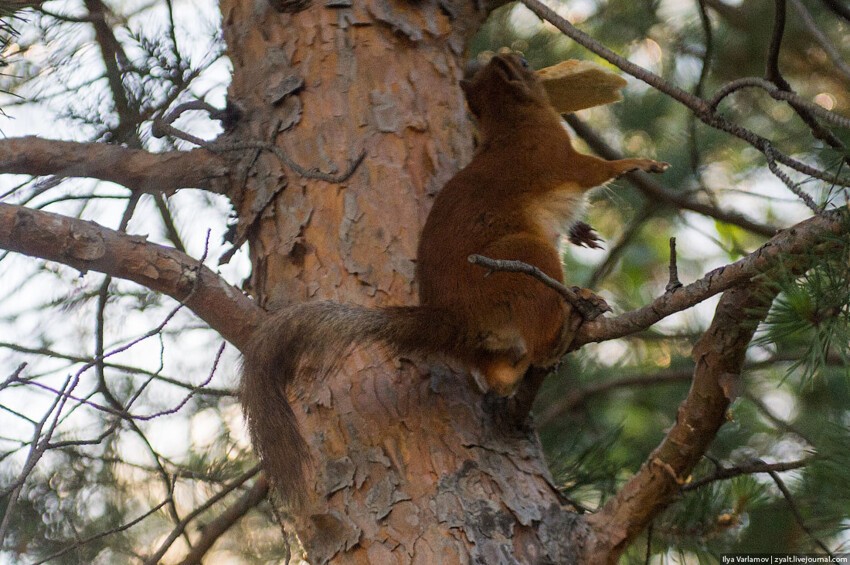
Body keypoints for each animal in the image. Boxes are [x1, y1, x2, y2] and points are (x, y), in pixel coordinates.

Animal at [240, 51, 668, 502]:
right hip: (521, 260)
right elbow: (597, 169)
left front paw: (582, 231)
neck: (509, 122)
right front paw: (638, 163)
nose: (524, 62)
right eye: (523, 60)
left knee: (500, 378)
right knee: (537, 344)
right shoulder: (557, 157)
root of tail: (457, 320)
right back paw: (565, 326)